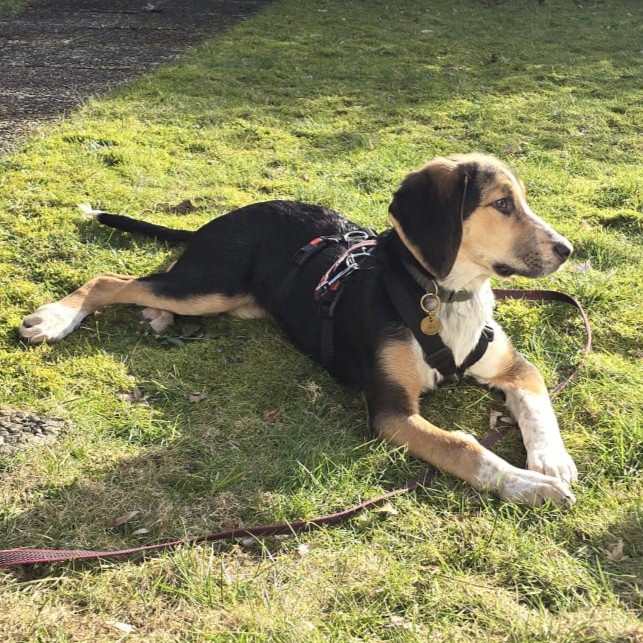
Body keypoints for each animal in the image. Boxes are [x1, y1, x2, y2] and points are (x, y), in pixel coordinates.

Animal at [19, 153, 578, 508]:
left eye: (522, 199)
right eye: (501, 204)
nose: (567, 250)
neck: (444, 295)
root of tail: (222, 219)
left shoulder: (515, 367)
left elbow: (538, 406)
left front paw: (551, 463)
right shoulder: (392, 412)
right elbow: (465, 446)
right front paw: (528, 485)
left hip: (227, 299)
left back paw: (157, 319)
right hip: (210, 285)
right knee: (112, 280)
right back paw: (55, 318)